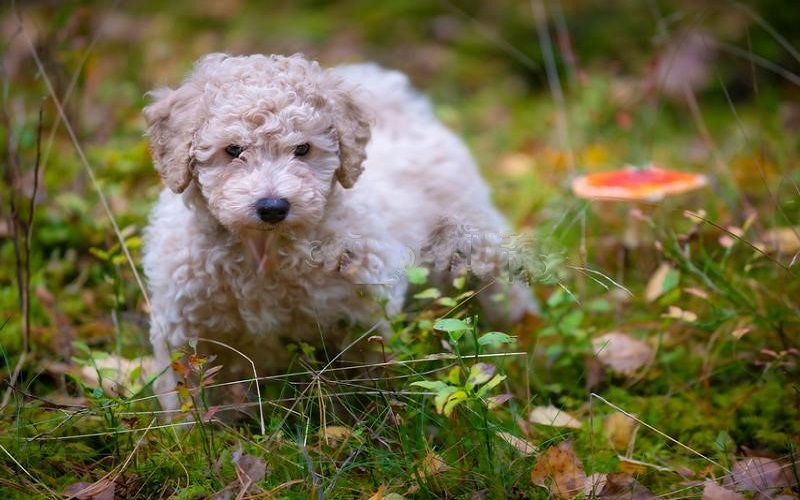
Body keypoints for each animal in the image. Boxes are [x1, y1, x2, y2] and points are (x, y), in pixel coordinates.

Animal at [142, 53, 536, 414]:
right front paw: (193, 436)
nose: (273, 207)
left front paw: (376, 418)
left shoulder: (362, 313)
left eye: (302, 149)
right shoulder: (181, 328)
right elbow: (186, 397)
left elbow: (370, 375)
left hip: (473, 235)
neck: (264, 251)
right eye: (233, 150)